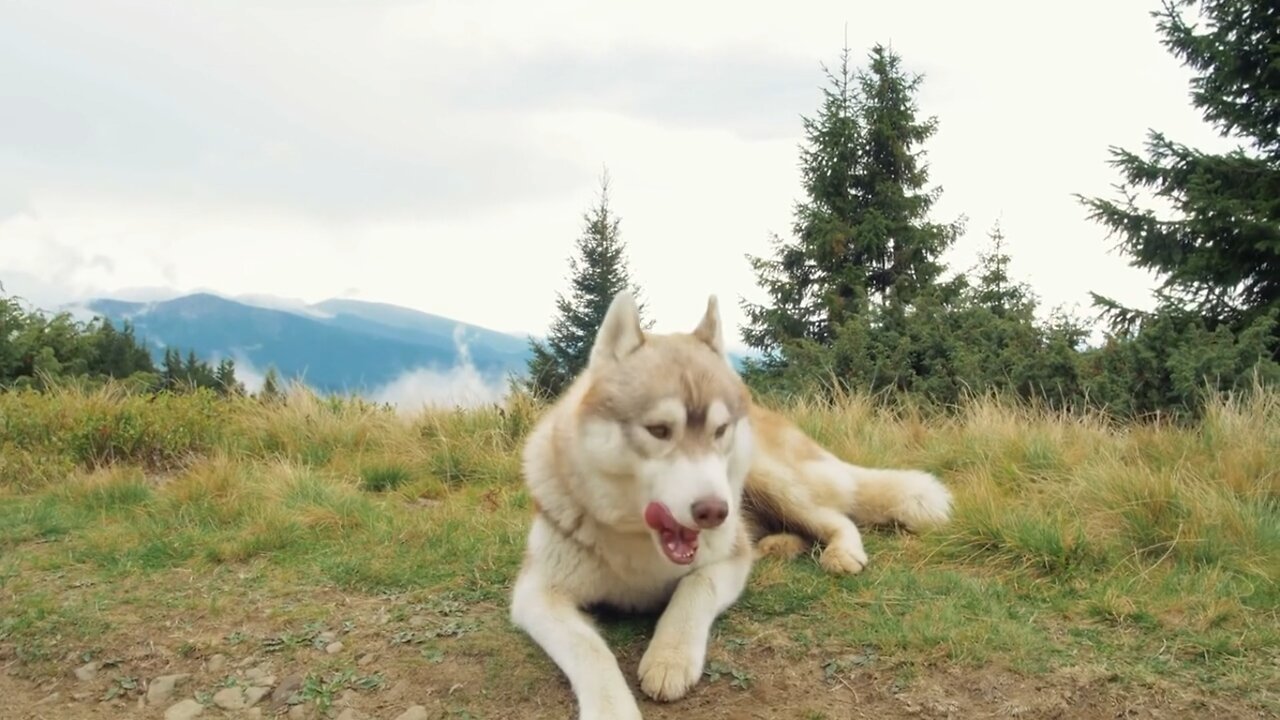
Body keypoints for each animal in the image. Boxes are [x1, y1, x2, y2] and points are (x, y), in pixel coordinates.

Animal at [509, 289, 952, 717]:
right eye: (659, 430)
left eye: (719, 430)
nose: (713, 513)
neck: (640, 545)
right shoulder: (537, 594)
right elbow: (590, 649)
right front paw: (611, 709)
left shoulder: (727, 559)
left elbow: (694, 587)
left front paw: (670, 656)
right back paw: (778, 545)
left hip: (768, 480)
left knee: (836, 517)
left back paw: (840, 552)